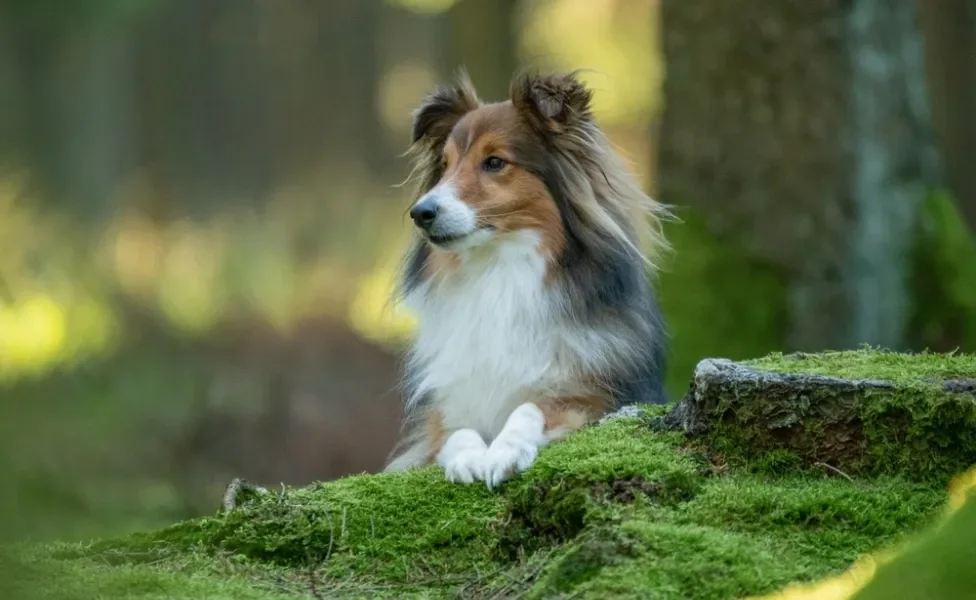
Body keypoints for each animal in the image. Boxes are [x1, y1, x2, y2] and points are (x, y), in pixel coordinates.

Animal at [382, 69, 672, 488]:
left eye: (494, 162)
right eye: (446, 165)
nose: (421, 213)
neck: (499, 274)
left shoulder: (592, 399)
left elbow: (529, 408)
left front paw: (504, 451)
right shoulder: (443, 417)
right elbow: (457, 432)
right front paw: (469, 458)